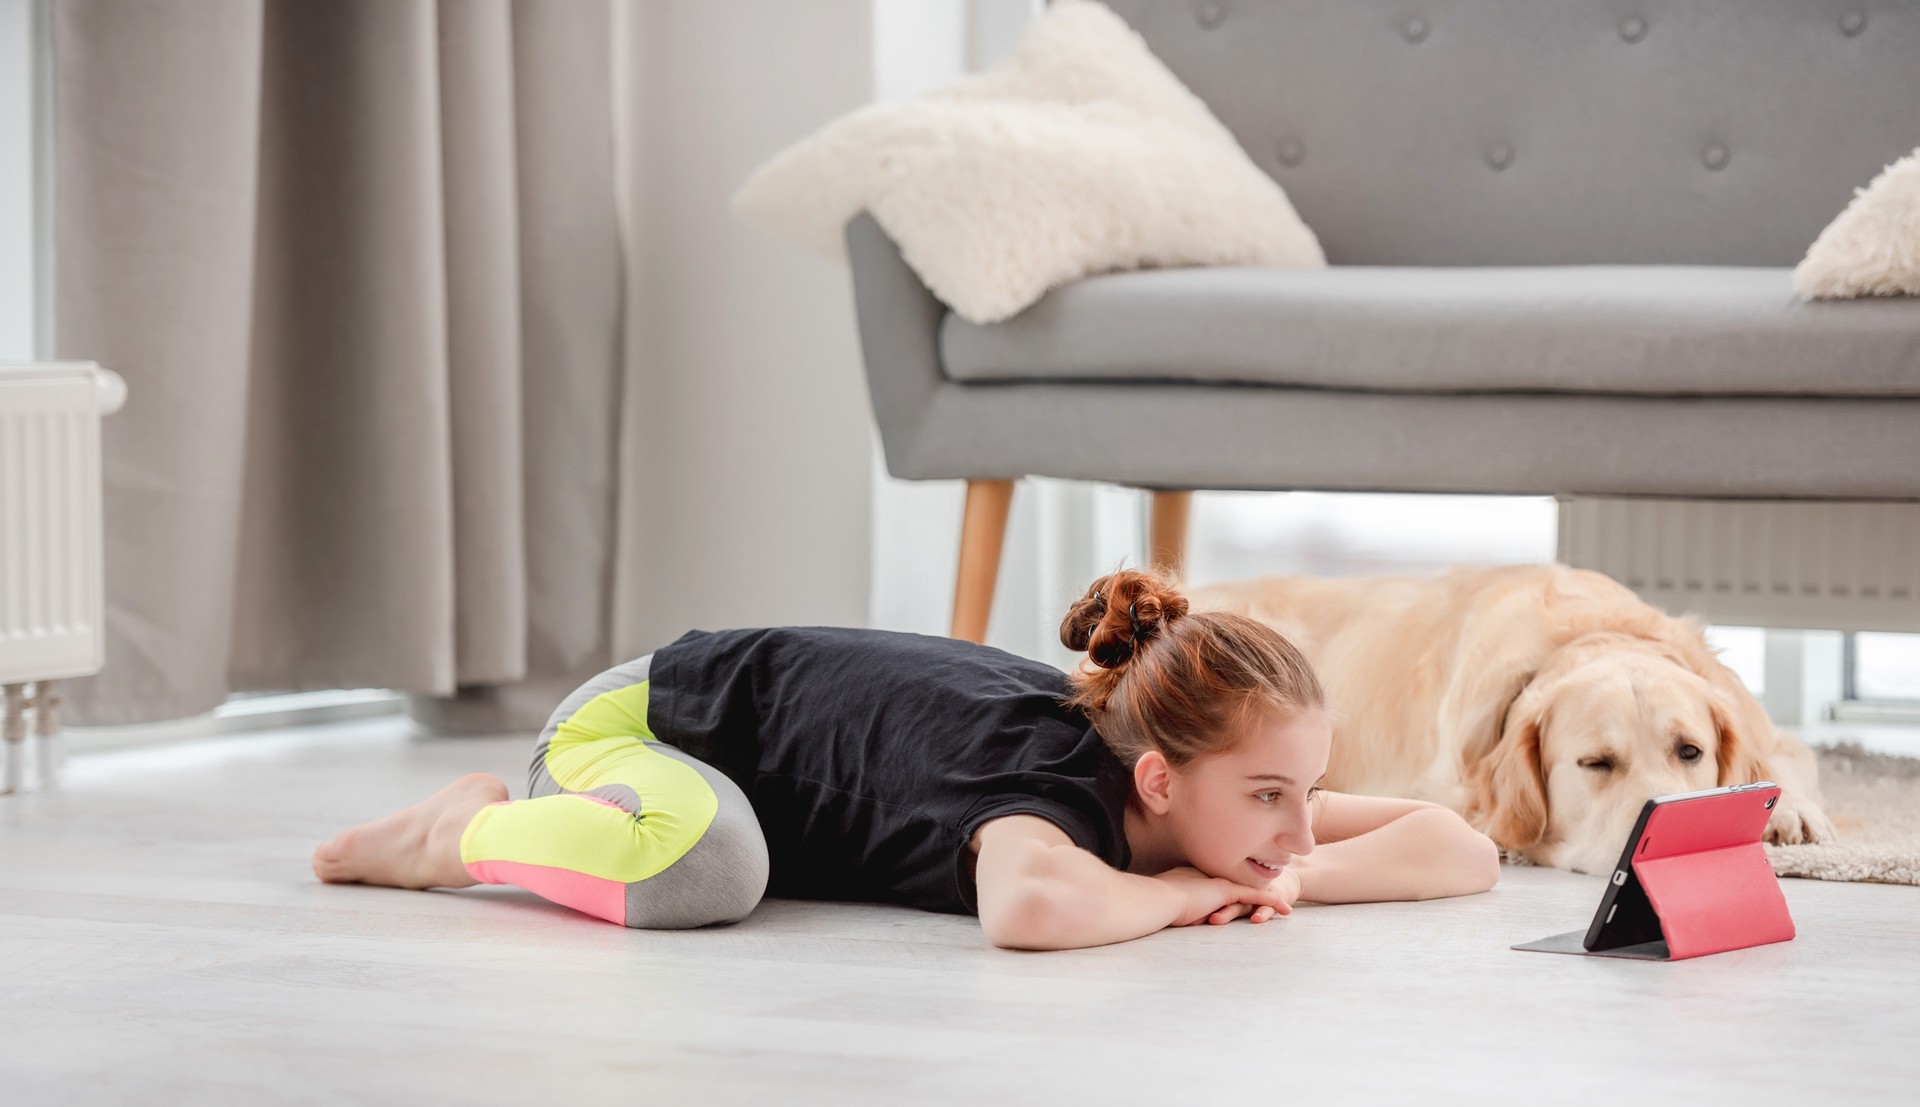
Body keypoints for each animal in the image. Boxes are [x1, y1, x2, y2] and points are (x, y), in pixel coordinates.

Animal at [1190, 564, 1835, 867]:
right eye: (1596, 763)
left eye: (1690, 751)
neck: (1591, 635)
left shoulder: (1768, 732)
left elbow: (1787, 763)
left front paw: (1791, 813)